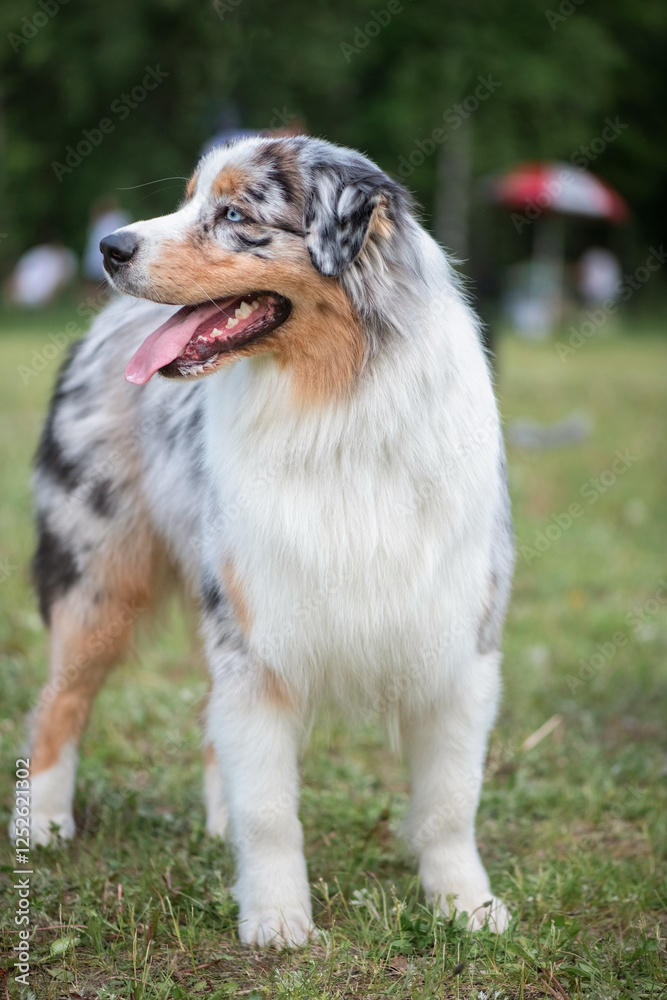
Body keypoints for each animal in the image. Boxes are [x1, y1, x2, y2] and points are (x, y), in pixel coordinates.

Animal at [14, 133, 516, 944]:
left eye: (233, 215)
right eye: (189, 198)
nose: (109, 247)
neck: (334, 409)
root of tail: (101, 325)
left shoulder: (459, 635)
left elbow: (449, 802)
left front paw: (465, 905)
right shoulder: (255, 634)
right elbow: (272, 807)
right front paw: (278, 919)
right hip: (99, 577)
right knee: (58, 703)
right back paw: (43, 829)